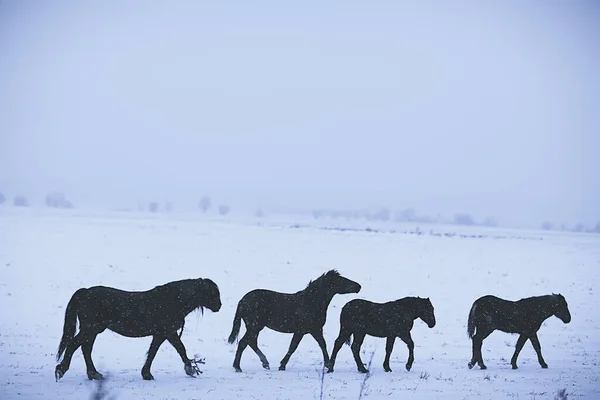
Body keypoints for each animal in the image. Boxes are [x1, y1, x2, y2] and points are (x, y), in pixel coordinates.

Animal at [54, 278, 220, 382]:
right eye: (213, 292)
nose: (219, 306)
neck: (173, 300)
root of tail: (86, 292)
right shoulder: (167, 332)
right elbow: (179, 348)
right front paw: (190, 369)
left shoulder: (161, 334)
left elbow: (155, 351)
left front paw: (146, 373)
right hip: (90, 329)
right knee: (74, 345)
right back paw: (61, 370)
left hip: (92, 331)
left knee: (85, 349)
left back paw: (94, 374)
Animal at [227, 268, 360, 372]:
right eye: (341, 280)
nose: (358, 286)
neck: (311, 301)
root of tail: (242, 300)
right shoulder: (304, 331)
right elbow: (294, 347)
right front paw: (282, 365)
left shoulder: (314, 330)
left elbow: (320, 344)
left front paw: (327, 364)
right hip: (254, 326)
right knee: (244, 343)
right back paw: (238, 367)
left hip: (255, 327)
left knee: (251, 342)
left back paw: (265, 363)